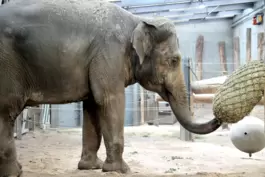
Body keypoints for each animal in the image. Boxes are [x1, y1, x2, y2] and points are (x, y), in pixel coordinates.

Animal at [0, 0, 222, 176]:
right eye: (175, 60)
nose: (219, 113)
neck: (139, 20)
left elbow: (92, 105)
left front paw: (91, 167)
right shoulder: (109, 52)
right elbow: (109, 100)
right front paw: (121, 170)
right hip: (7, 64)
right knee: (7, 110)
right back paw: (14, 172)